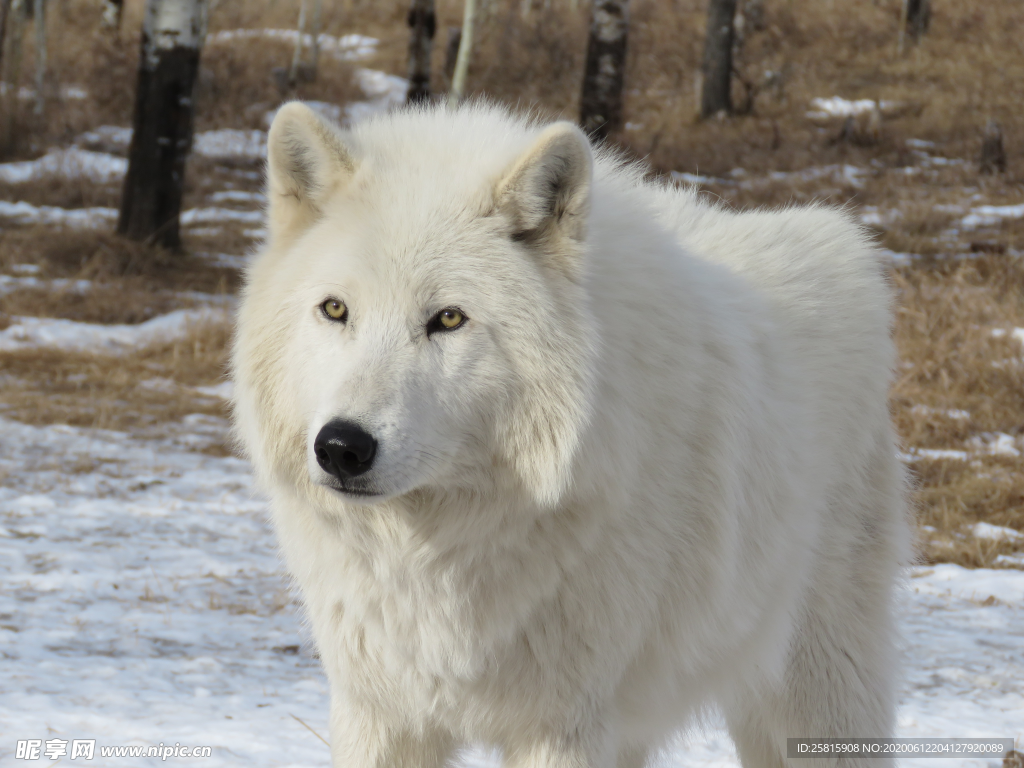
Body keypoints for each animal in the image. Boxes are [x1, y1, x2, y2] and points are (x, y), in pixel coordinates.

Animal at [230, 102, 905, 768]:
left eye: (447, 319)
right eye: (335, 310)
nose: (342, 447)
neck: (437, 555)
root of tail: (842, 237)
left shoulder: (563, 725)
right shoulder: (379, 711)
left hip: (818, 694)